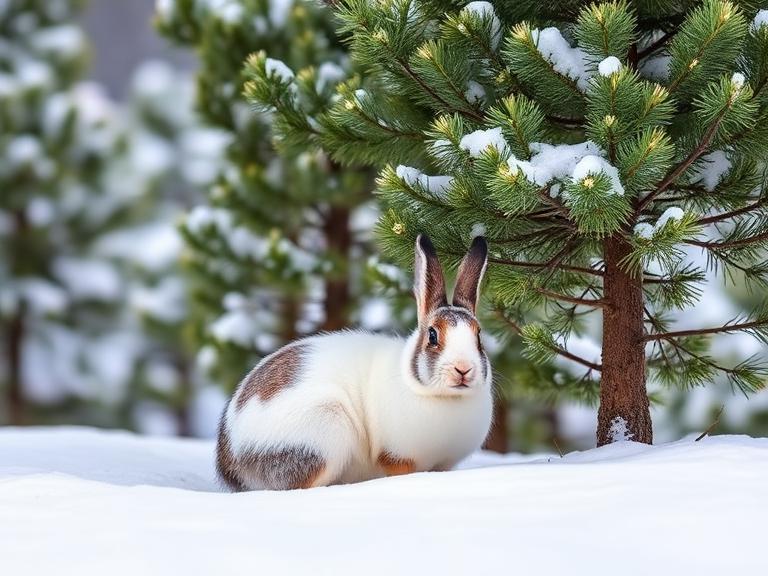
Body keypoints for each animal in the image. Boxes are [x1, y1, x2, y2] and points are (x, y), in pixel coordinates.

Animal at [216, 234, 493, 491]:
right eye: (433, 336)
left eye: (479, 336)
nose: (463, 369)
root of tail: (232, 460)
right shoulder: (396, 457)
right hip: (323, 434)